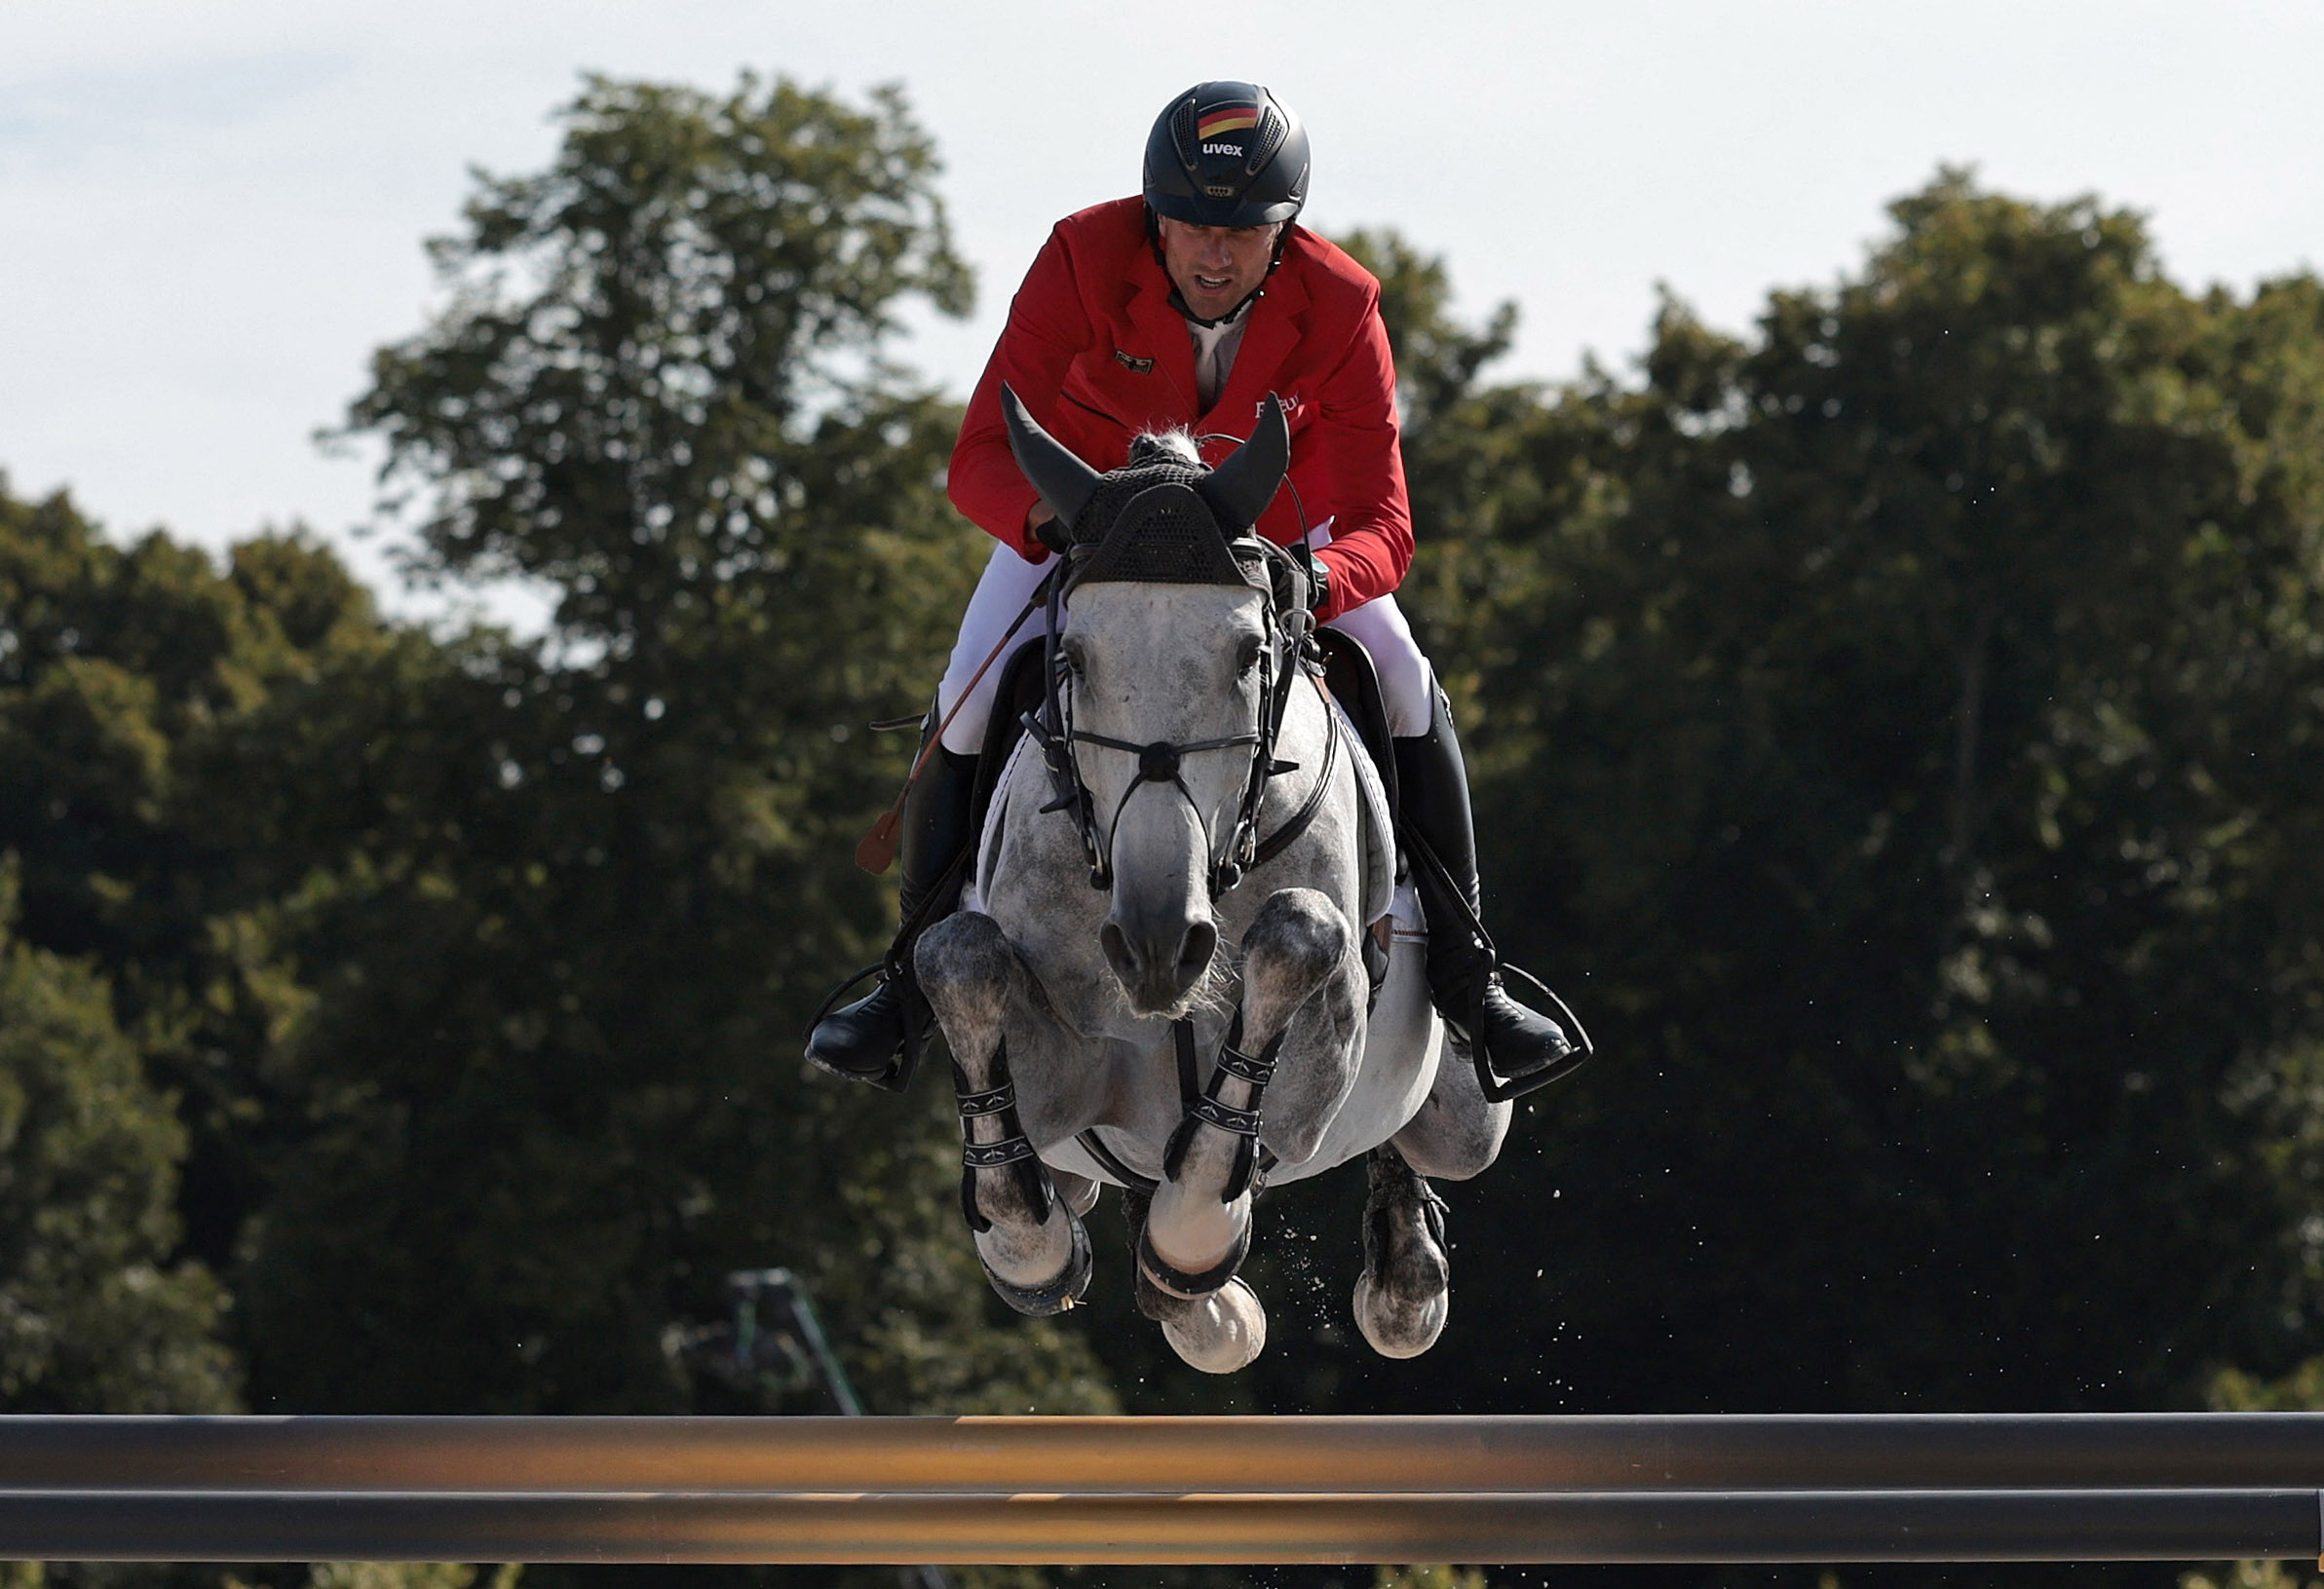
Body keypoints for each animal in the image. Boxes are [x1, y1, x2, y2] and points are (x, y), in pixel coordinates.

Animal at [915, 390, 1515, 1375]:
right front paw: (1042, 1249)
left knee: (1433, 1142)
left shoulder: (1312, 1072)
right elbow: (960, 964)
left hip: (1465, 1118)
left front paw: (1191, 1244)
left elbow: (1297, 940)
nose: (1157, 947)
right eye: (1072, 659)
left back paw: (1402, 1276)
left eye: (1246, 654)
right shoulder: (1060, 1087)